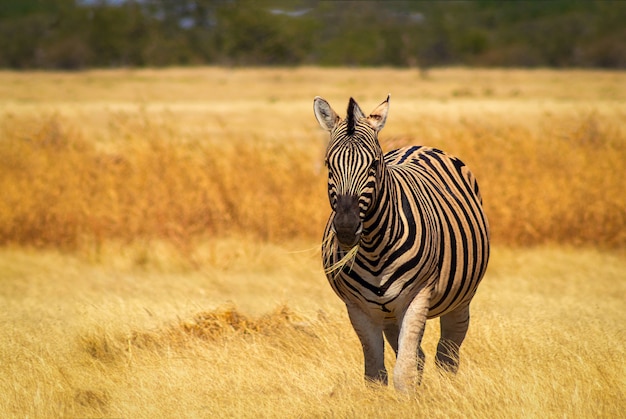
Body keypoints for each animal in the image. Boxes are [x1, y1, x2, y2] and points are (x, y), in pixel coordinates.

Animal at [312, 96, 488, 394]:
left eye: (374, 164)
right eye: (328, 165)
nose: (346, 229)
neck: (373, 248)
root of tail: (416, 146)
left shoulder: (417, 297)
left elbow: (403, 374)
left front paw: (410, 400)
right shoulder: (358, 308)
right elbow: (376, 374)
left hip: (461, 298)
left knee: (447, 353)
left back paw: (449, 391)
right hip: (388, 313)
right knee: (420, 356)